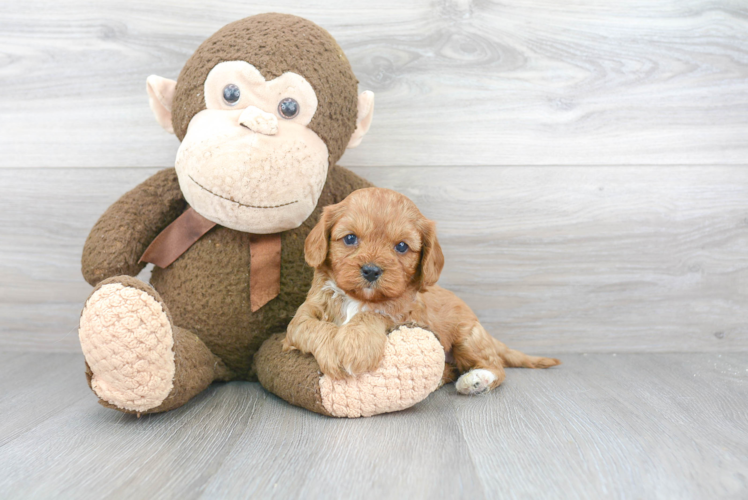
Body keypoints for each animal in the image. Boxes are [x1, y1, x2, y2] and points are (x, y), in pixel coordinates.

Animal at [284, 188, 560, 394]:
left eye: (402, 246)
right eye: (350, 238)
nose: (371, 271)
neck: (357, 298)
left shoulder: (407, 316)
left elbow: (375, 313)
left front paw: (355, 343)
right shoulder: (302, 316)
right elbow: (309, 326)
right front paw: (336, 349)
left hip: (468, 337)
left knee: (496, 367)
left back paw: (476, 381)